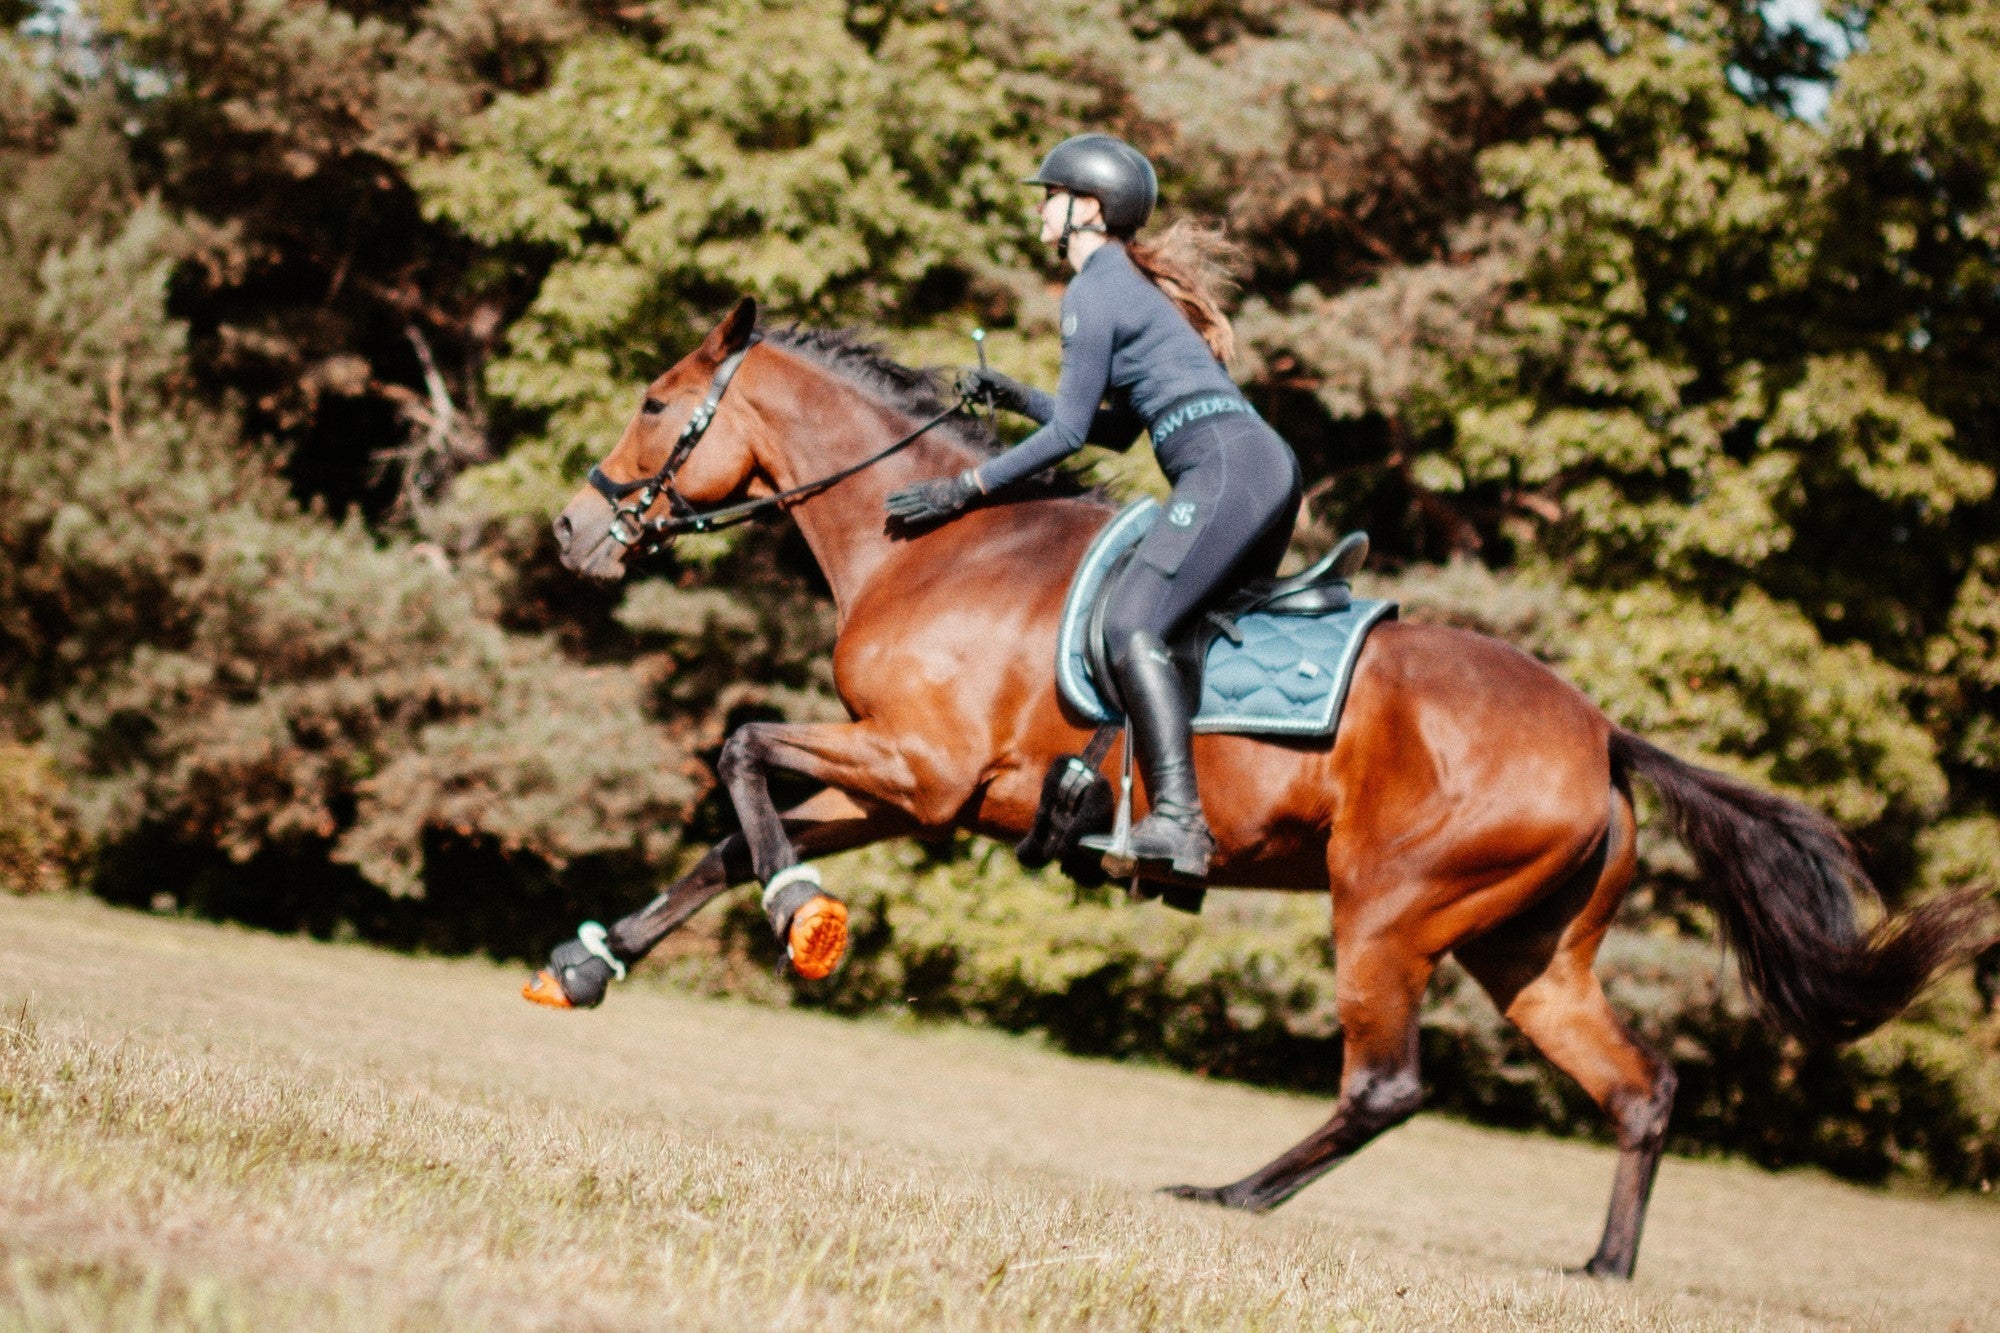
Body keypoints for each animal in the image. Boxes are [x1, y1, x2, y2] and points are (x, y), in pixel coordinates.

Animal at [532, 297, 1988, 1280]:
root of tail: (1602, 734)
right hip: (1527, 953)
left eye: (657, 402)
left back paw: (1227, 1197)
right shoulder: (900, 783)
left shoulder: (925, 770)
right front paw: (588, 964)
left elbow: (738, 753)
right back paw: (1602, 1271)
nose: (573, 527)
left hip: (1387, 911)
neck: (933, 544)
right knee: (1638, 1089)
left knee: (1387, 1085)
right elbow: (729, 836)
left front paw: (805, 921)